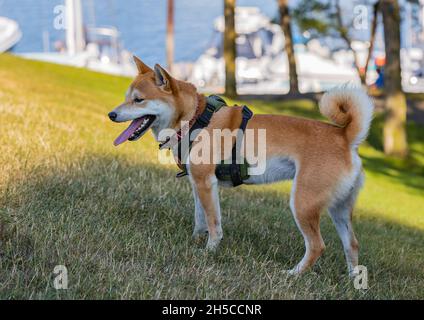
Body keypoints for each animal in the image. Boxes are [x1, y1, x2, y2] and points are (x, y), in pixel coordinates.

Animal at [109, 56, 374, 276]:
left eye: (138, 100)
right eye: (126, 97)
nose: (111, 115)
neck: (195, 119)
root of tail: (345, 137)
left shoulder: (206, 183)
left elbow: (213, 224)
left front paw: (209, 252)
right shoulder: (198, 184)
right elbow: (200, 219)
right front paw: (195, 242)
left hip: (303, 203)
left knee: (317, 246)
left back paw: (293, 274)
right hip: (339, 209)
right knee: (352, 245)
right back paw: (353, 281)